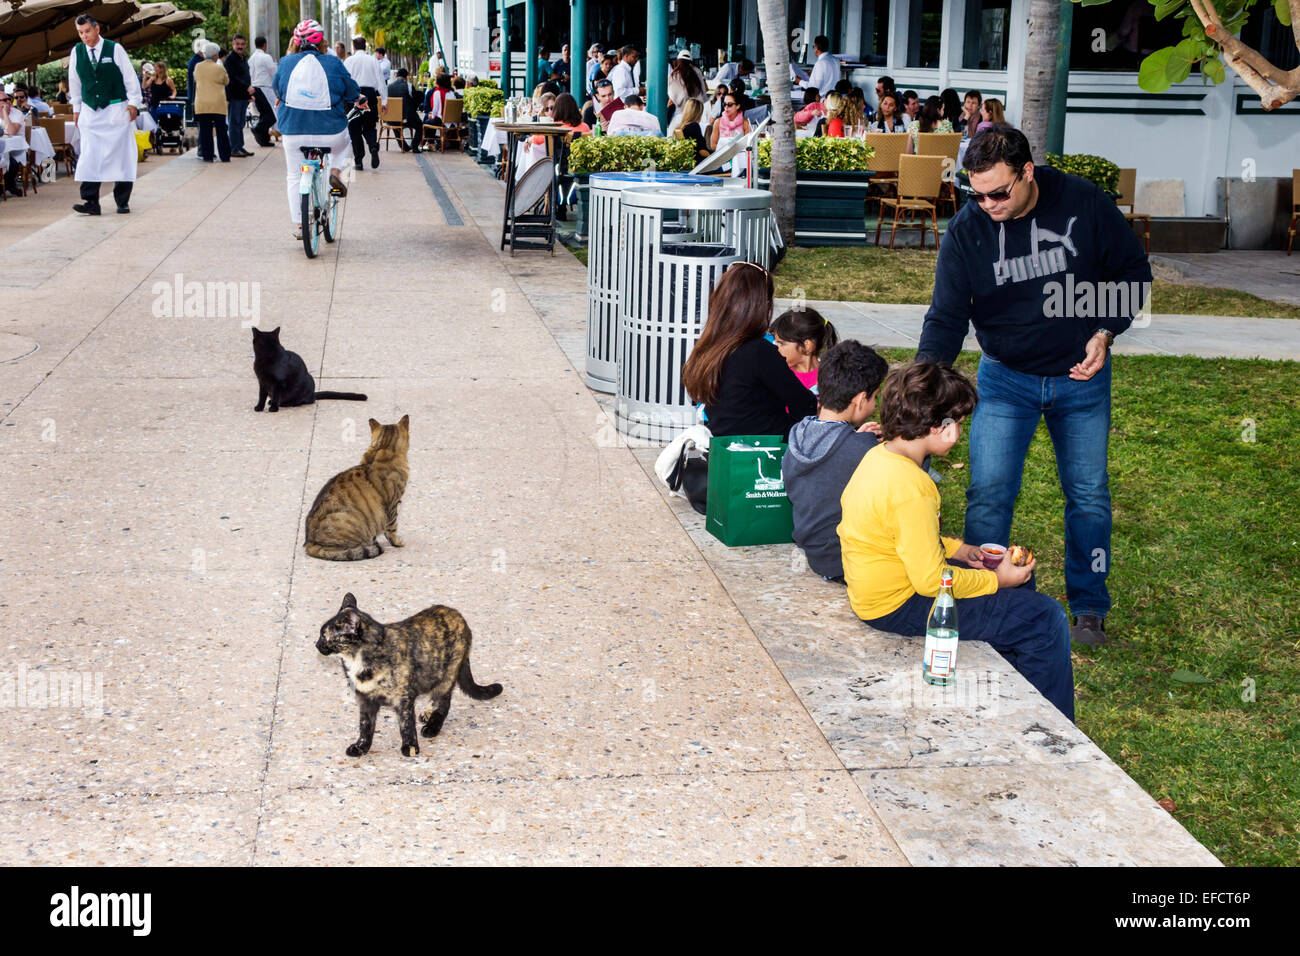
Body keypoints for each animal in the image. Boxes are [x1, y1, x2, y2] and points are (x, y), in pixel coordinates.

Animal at [314, 595, 501, 759]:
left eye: (323, 634)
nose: (316, 644)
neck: (357, 660)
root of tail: (458, 615)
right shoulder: (365, 700)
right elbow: (365, 726)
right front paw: (361, 747)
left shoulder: (403, 699)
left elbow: (406, 724)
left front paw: (410, 747)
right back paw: (427, 713)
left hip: (447, 676)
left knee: (444, 702)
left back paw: (432, 726)